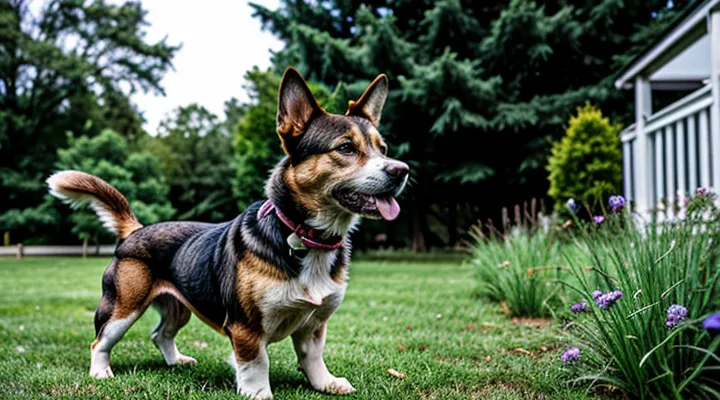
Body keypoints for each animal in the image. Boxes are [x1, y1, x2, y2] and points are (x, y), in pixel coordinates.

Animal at [47, 67, 410, 398]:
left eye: (382, 148)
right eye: (345, 148)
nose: (402, 170)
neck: (304, 236)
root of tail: (135, 229)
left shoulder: (314, 325)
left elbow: (313, 358)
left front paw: (326, 383)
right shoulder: (246, 326)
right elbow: (257, 363)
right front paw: (259, 394)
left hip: (179, 306)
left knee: (160, 334)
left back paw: (176, 361)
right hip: (122, 307)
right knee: (100, 341)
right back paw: (100, 372)